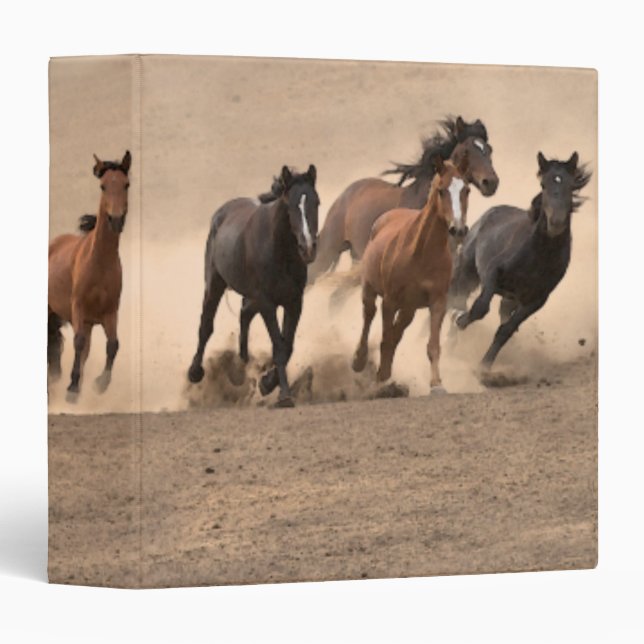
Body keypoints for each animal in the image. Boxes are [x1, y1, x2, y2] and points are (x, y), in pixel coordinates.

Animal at [48, 151, 131, 400]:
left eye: (126, 184)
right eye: (103, 186)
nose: (116, 220)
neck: (99, 264)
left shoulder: (109, 312)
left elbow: (113, 345)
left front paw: (99, 384)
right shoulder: (78, 307)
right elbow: (78, 342)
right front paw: (72, 388)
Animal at [187, 165, 319, 408]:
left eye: (316, 202)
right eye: (291, 205)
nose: (308, 248)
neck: (280, 250)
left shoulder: (294, 302)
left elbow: (287, 346)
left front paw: (267, 383)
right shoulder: (267, 303)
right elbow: (279, 345)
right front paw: (284, 395)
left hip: (251, 295)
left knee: (244, 312)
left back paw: (242, 363)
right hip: (214, 284)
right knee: (206, 324)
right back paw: (195, 372)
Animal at [351, 155, 470, 393]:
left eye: (467, 190)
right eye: (441, 190)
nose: (458, 229)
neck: (421, 253)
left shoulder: (437, 302)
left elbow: (432, 345)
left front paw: (437, 384)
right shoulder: (389, 301)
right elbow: (385, 338)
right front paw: (380, 381)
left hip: (409, 308)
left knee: (397, 331)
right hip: (370, 290)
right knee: (368, 316)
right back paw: (360, 361)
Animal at [450, 151, 591, 371]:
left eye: (571, 186)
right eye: (543, 184)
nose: (556, 223)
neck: (538, 256)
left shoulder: (536, 300)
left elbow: (506, 330)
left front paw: (484, 367)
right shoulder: (492, 273)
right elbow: (479, 308)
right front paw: (459, 318)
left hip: (510, 297)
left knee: (502, 314)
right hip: (467, 271)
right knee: (459, 298)